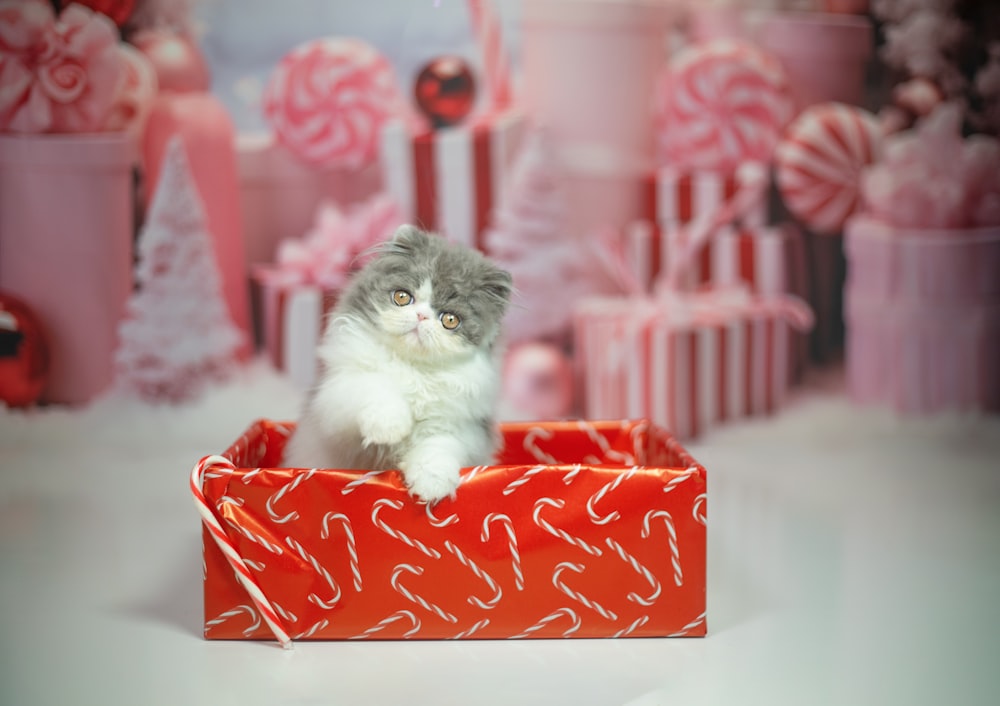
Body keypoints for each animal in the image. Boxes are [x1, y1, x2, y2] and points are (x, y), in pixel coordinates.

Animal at [284, 223, 512, 504]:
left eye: (450, 320)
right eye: (403, 297)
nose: (421, 316)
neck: (411, 367)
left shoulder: (460, 427)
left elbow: (438, 447)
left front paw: (432, 484)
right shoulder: (336, 397)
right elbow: (376, 388)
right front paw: (390, 428)